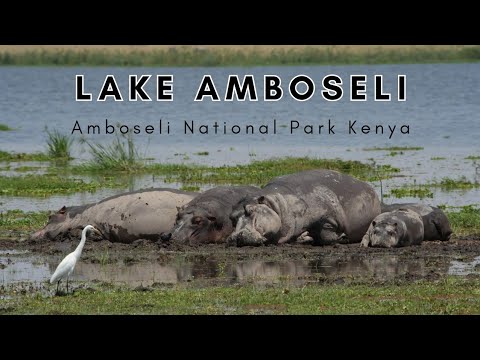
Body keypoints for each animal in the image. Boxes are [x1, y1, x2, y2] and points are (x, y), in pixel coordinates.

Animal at [227, 168, 380, 245]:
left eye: (250, 210)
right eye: (232, 217)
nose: (236, 236)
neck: (277, 204)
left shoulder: (328, 218)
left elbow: (326, 234)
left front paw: (341, 237)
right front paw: (305, 237)